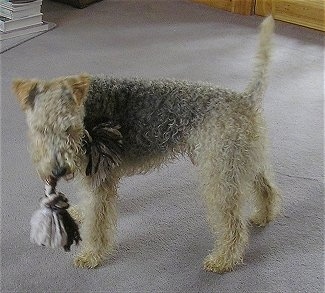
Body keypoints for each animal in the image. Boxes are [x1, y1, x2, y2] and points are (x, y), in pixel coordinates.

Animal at [12, 15, 278, 272]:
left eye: (69, 128)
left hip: (220, 174)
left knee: (233, 225)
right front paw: (80, 213)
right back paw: (263, 215)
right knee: (266, 187)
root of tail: (244, 99)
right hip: (241, 160)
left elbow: (97, 225)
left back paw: (223, 259)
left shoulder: (99, 179)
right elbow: (90, 207)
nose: (58, 170)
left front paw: (91, 255)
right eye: (40, 129)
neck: (89, 114)